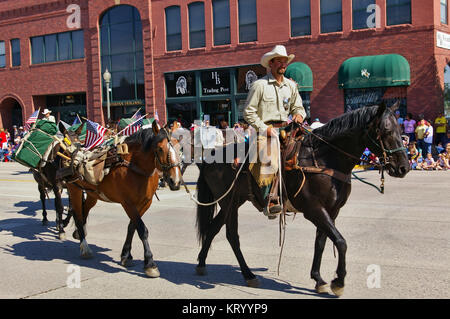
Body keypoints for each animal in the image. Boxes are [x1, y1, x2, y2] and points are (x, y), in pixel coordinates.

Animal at [65, 124, 181, 278]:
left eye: (180, 148)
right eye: (160, 149)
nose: (176, 181)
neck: (135, 167)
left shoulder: (145, 203)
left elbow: (132, 227)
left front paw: (126, 255)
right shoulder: (128, 203)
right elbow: (142, 230)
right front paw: (150, 263)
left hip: (92, 194)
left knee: (84, 211)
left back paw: (79, 233)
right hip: (74, 190)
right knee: (78, 215)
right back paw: (84, 247)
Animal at [195, 102, 410, 298]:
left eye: (400, 130)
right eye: (386, 130)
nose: (403, 168)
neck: (325, 160)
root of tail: (209, 157)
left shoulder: (331, 211)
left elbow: (321, 242)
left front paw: (319, 279)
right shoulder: (314, 209)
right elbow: (341, 242)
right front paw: (338, 282)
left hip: (232, 202)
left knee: (213, 229)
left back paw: (201, 263)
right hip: (230, 203)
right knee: (232, 236)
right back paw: (248, 275)